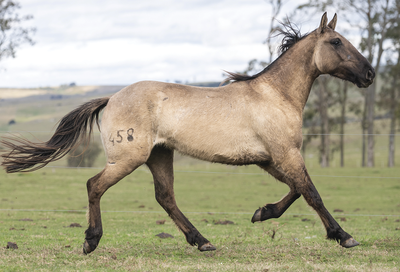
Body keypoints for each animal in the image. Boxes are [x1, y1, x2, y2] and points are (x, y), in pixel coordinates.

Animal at [0, 12, 376, 254]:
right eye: (336, 41)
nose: (370, 73)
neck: (275, 95)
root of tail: (112, 97)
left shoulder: (271, 159)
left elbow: (296, 191)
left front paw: (261, 213)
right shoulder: (285, 154)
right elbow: (311, 193)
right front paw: (344, 236)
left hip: (159, 156)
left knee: (165, 198)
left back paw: (203, 241)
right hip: (129, 158)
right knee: (95, 185)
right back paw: (91, 241)